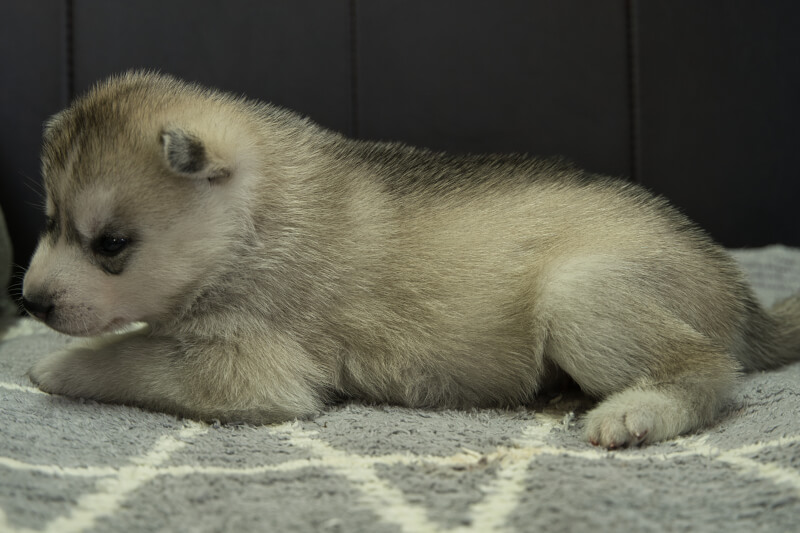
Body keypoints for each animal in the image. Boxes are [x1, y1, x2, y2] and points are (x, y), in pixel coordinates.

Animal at [21, 69, 796, 444]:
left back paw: (635, 411)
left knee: (708, 369)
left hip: (584, 293)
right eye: (50, 221)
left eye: (111, 244)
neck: (251, 219)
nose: (29, 302)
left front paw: (57, 366)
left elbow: (131, 355)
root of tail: (743, 298)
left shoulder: (245, 369)